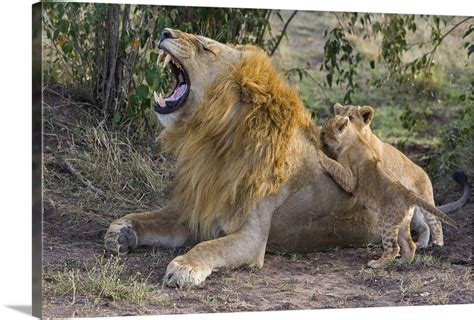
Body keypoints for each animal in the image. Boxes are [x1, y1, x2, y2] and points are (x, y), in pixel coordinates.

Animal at [104, 28, 466, 288]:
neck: (214, 142)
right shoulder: (194, 213)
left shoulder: (251, 238)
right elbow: (146, 217)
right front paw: (120, 232)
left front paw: (184, 267)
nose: (165, 30)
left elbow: (208, 247)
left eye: (206, 47)